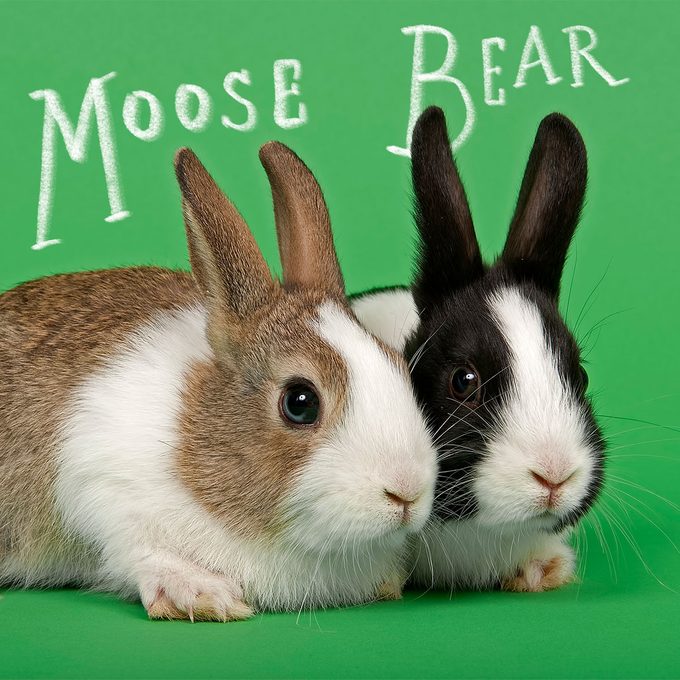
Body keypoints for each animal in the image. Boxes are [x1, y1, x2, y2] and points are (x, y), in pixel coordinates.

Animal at [0, 142, 438, 621]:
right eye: (300, 401)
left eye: (399, 365)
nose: (407, 492)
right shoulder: (98, 481)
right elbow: (137, 551)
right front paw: (203, 595)